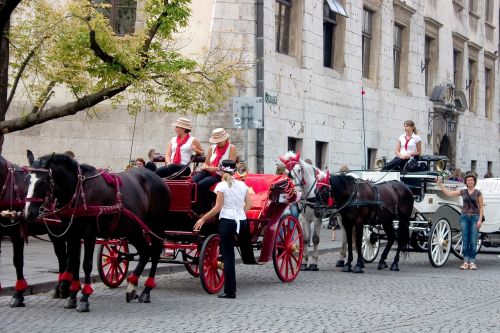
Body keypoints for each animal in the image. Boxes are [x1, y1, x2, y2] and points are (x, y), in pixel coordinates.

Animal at [0, 153, 69, 306]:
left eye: (42, 183)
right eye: (27, 180)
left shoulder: (17, 233)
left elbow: (18, 260)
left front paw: (18, 295)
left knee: (63, 255)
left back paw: (64, 287)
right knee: (62, 255)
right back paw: (61, 288)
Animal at [24, 153, 171, 312]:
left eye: (42, 182)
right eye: (27, 180)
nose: (28, 213)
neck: (80, 191)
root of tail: (158, 179)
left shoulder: (89, 234)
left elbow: (86, 264)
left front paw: (84, 298)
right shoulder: (73, 235)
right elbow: (74, 263)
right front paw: (72, 297)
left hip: (155, 225)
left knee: (155, 252)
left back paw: (146, 291)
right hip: (133, 230)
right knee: (145, 252)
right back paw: (132, 288)